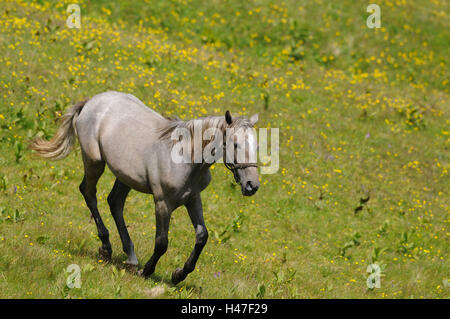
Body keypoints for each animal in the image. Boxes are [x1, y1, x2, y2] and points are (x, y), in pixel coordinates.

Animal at [29, 90, 260, 284]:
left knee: (115, 202)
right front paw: (147, 271)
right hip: (94, 162)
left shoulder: (193, 199)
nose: (252, 185)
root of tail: (91, 101)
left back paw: (130, 256)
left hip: (124, 176)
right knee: (89, 192)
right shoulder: (162, 202)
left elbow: (202, 236)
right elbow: (162, 242)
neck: (184, 157)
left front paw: (179, 274)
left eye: (257, 146)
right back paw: (106, 248)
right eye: (236, 144)